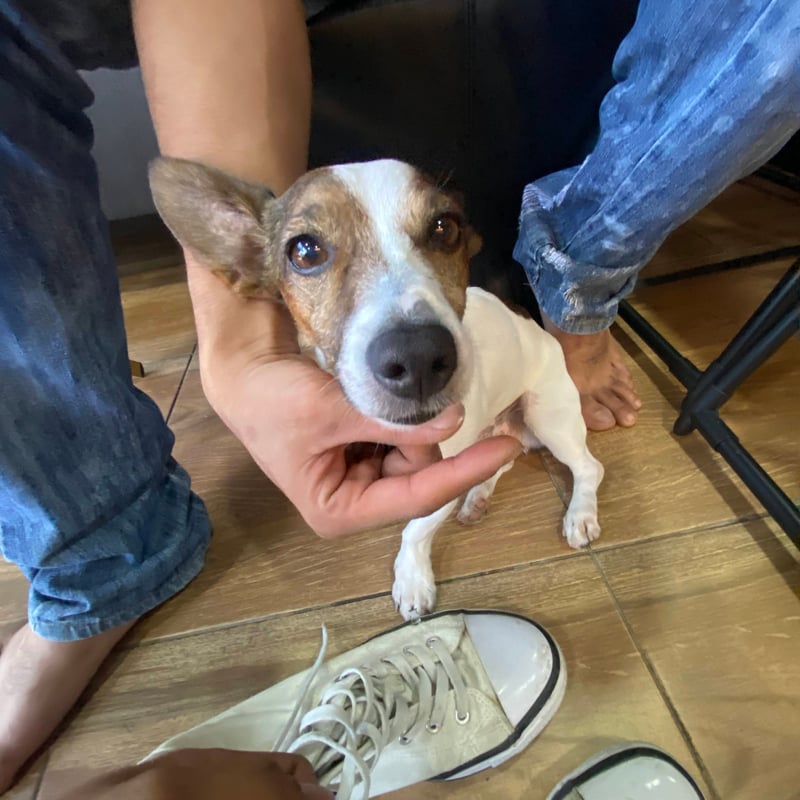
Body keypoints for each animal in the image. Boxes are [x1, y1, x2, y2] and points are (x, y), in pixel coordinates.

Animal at [149, 158, 604, 621]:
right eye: (305, 251)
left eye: (445, 228)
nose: (418, 356)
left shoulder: (441, 478)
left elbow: (415, 528)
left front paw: (413, 578)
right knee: (502, 460)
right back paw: (478, 497)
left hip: (548, 417)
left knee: (588, 467)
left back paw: (580, 514)